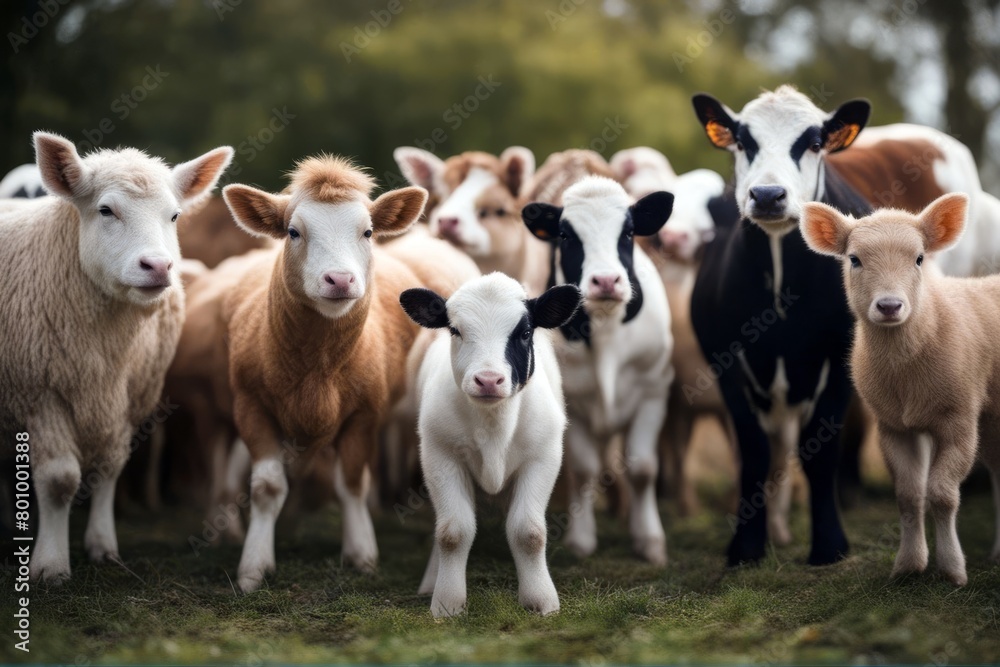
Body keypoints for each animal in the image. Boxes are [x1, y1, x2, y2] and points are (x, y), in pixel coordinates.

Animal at [0, 131, 232, 582]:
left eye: (174, 216)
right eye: (106, 210)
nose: (157, 266)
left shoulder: (128, 396)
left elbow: (109, 466)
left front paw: (103, 546)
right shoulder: (39, 394)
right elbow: (60, 480)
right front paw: (51, 565)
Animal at [214, 155, 477, 591]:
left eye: (367, 232)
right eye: (293, 232)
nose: (340, 280)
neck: (316, 367)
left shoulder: (364, 414)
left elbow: (352, 482)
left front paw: (361, 554)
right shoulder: (250, 407)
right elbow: (267, 487)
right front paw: (253, 566)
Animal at [399, 273, 581, 617]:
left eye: (525, 333)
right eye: (455, 330)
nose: (487, 380)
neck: (494, 426)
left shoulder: (543, 457)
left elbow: (529, 532)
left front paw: (540, 600)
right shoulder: (440, 455)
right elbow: (452, 532)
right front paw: (446, 602)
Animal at [801, 192, 1000, 585]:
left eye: (919, 258)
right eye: (854, 259)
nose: (890, 306)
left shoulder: (958, 420)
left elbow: (942, 494)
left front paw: (952, 570)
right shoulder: (893, 426)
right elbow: (909, 495)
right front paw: (908, 566)